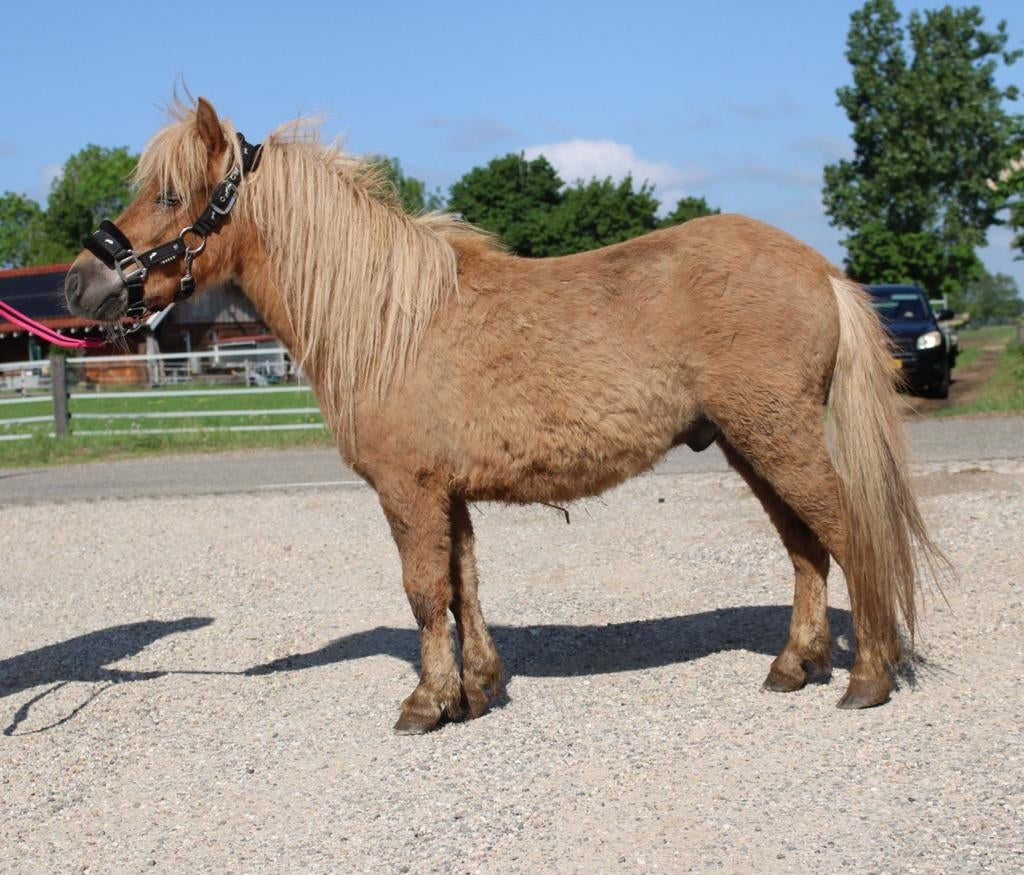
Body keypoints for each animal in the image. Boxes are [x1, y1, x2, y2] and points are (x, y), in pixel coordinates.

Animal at [65, 98, 947, 734]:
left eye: (170, 194)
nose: (81, 283)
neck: (389, 320)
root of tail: (820, 269)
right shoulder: (447, 493)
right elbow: (464, 586)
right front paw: (477, 689)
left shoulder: (409, 490)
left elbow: (425, 592)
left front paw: (426, 704)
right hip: (748, 443)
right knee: (805, 547)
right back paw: (795, 665)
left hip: (778, 437)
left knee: (848, 534)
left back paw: (867, 677)